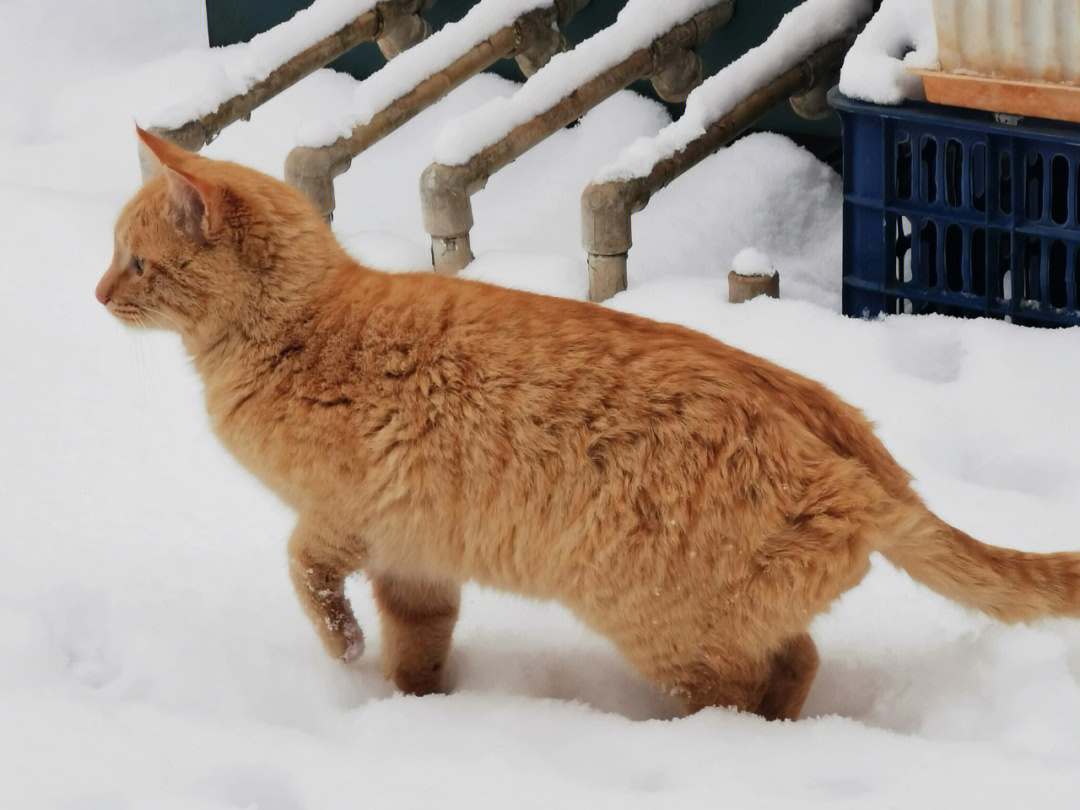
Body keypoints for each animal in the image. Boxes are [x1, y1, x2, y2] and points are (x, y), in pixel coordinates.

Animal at [99, 130, 1080, 721]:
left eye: (137, 263)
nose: (98, 293)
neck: (301, 328)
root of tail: (860, 447)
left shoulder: (344, 517)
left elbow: (307, 574)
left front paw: (343, 653)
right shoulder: (416, 559)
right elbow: (418, 647)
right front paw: (415, 711)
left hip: (662, 627)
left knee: (762, 677)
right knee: (798, 658)